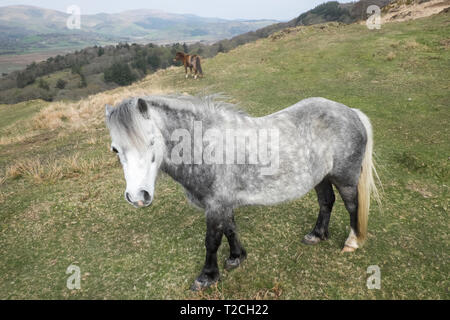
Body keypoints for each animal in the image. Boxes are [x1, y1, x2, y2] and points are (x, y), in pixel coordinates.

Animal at [105, 94, 380, 290]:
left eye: (152, 142)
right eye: (115, 149)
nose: (138, 197)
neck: (206, 146)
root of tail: (351, 112)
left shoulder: (215, 205)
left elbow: (212, 240)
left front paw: (207, 277)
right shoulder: (223, 203)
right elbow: (230, 229)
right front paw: (237, 257)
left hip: (345, 179)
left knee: (351, 205)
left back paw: (352, 242)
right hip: (321, 177)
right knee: (326, 201)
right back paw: (316, 234)